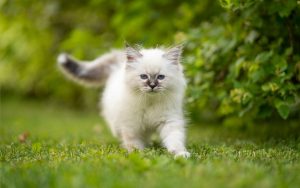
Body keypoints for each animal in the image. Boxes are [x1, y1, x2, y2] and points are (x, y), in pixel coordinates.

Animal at [56, 44, 190, 158]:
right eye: (144, 76)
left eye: (161, 77)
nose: (152, 85)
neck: (150, 101)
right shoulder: (131, 125)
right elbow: (133, 144)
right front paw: (138, 155)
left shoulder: (169, 121)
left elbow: (175, 140)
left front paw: (180, 154)